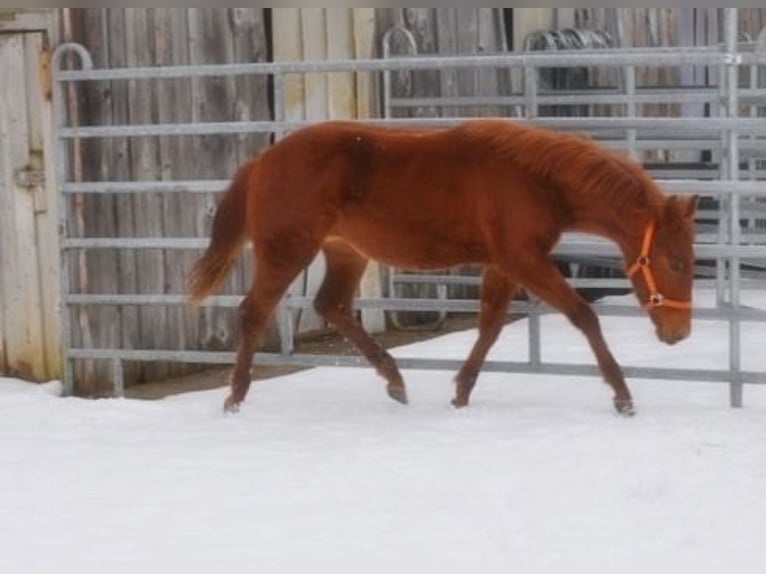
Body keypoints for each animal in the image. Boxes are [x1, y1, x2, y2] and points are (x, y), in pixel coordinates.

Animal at [188, 119, 698, 416]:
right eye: (674, 261)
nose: (679, 333)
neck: (535, 179)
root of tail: (260, 162)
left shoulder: (505, 264)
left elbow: (490, 325)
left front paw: (461, 391)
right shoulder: (524, 260)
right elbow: (583, 315)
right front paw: (622, 395)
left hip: (345, 251)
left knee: (332, 305)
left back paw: (395, 382)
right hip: (287, 250)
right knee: (254, 311)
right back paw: (234, 398)